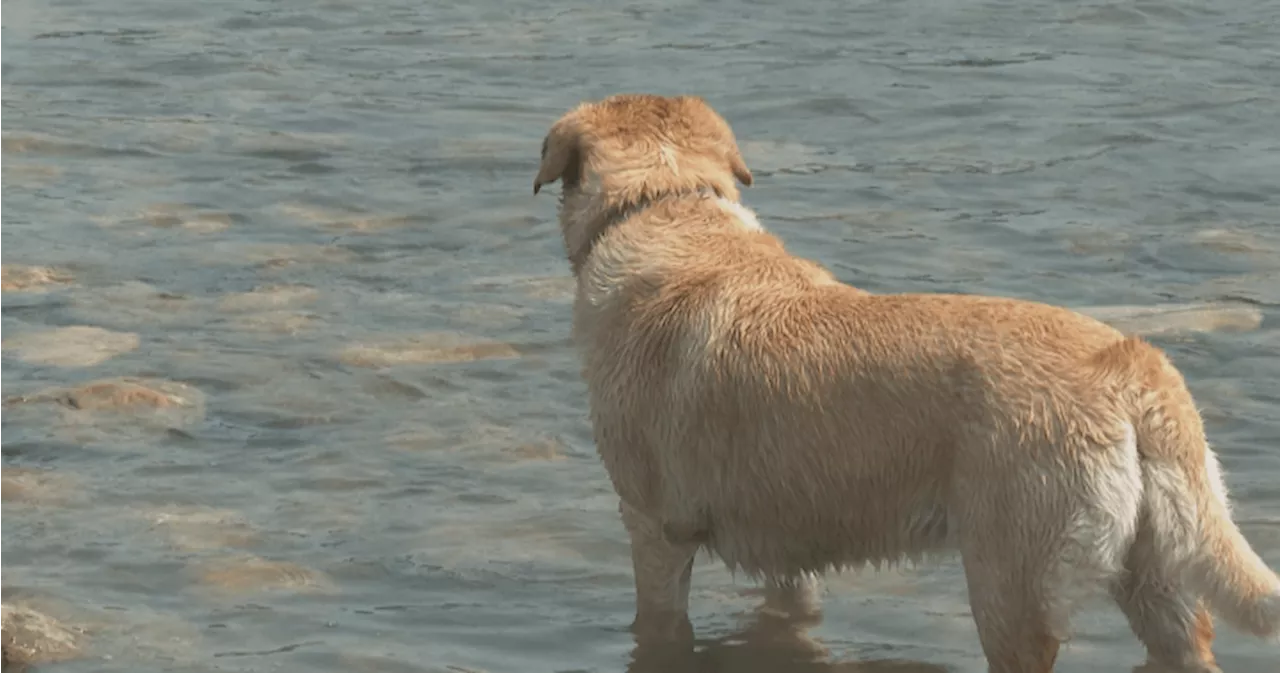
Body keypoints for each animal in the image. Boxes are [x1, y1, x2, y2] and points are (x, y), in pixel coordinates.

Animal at [529, 92, 1280, 670]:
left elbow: (657, 626)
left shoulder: (654, 529)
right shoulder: (787, 544)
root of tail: (1128, 364)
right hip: (1158, 574)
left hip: (1010, 586)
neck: (665, 206)